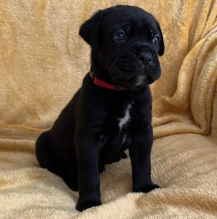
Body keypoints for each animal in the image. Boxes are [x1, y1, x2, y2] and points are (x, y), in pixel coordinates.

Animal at [36, 4, 164, 212]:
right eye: (120, 35)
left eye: (155, 39)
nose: (146, 56)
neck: (123, 92)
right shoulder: (88, 138)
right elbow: (89, 174)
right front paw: (89, 203)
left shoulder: (143, 132)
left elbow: (143, 163)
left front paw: (145, 187)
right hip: (42, 145)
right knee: (60, 170)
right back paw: (73, 181)